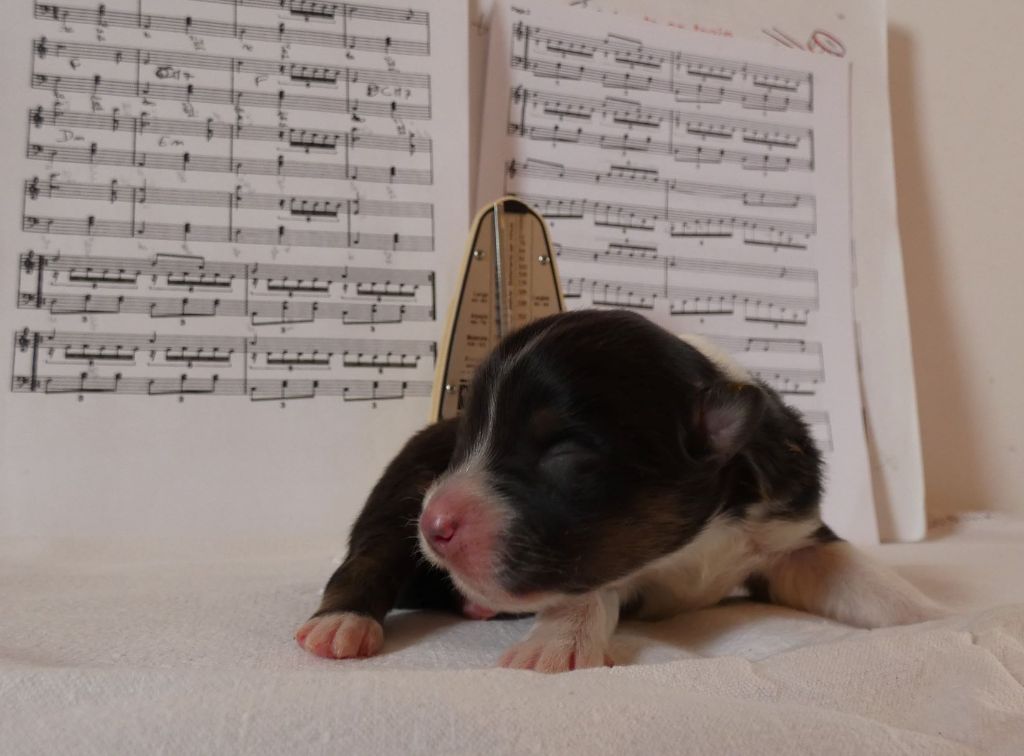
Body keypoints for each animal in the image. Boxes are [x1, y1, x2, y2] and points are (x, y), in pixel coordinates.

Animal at [296, 309, 946, 672]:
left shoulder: (791, 534)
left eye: (564, 452)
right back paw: (341, 625)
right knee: (370, 553)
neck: (695, 540)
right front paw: (555, 645)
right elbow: (586, 589)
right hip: (401, 491)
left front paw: (933, 616)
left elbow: (862, 578)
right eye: (469, 440)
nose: (436, 526)